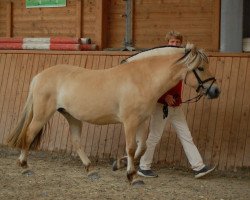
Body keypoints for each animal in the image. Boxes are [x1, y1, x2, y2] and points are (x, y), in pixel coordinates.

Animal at [6, 43, 220, 186]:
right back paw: (25, 167)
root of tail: (39, 76)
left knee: (76, 142)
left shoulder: (142, 121)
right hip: (43, 115)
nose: (215, 91)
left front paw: (119, 165)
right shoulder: (130, 122)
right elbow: (131, 148)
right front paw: (132, 177)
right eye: (200, 68)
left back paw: (91, 170)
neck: (142, 79)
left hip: (72, 117)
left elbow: (142, 147)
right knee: (29, 134)